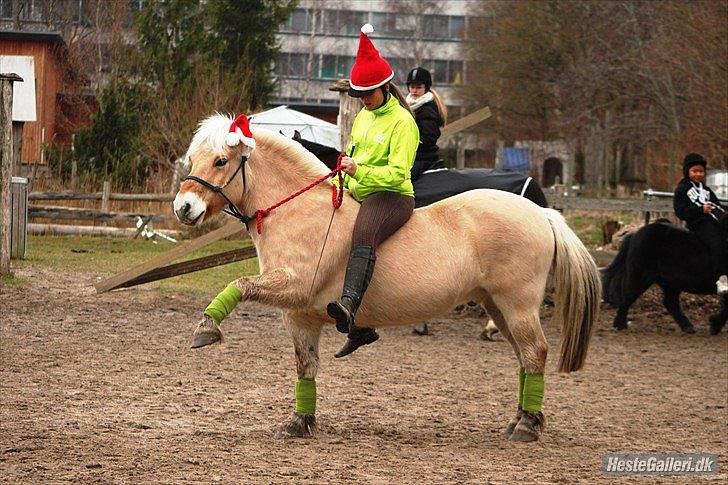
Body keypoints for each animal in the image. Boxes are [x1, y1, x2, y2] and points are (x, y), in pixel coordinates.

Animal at [173, 113, 600, 442]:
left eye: (220, 161)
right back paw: (520, 420)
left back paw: (527, 426)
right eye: (193, 160)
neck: (298, 211)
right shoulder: (299, 315)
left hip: (518, 304)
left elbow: (237, 285)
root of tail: (541, 213)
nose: (183, 208)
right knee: (523, 358)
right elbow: (305, 366)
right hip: (497, 304)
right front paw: (300, 421)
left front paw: (206, 328)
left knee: (535, 352)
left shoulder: (292, 286)